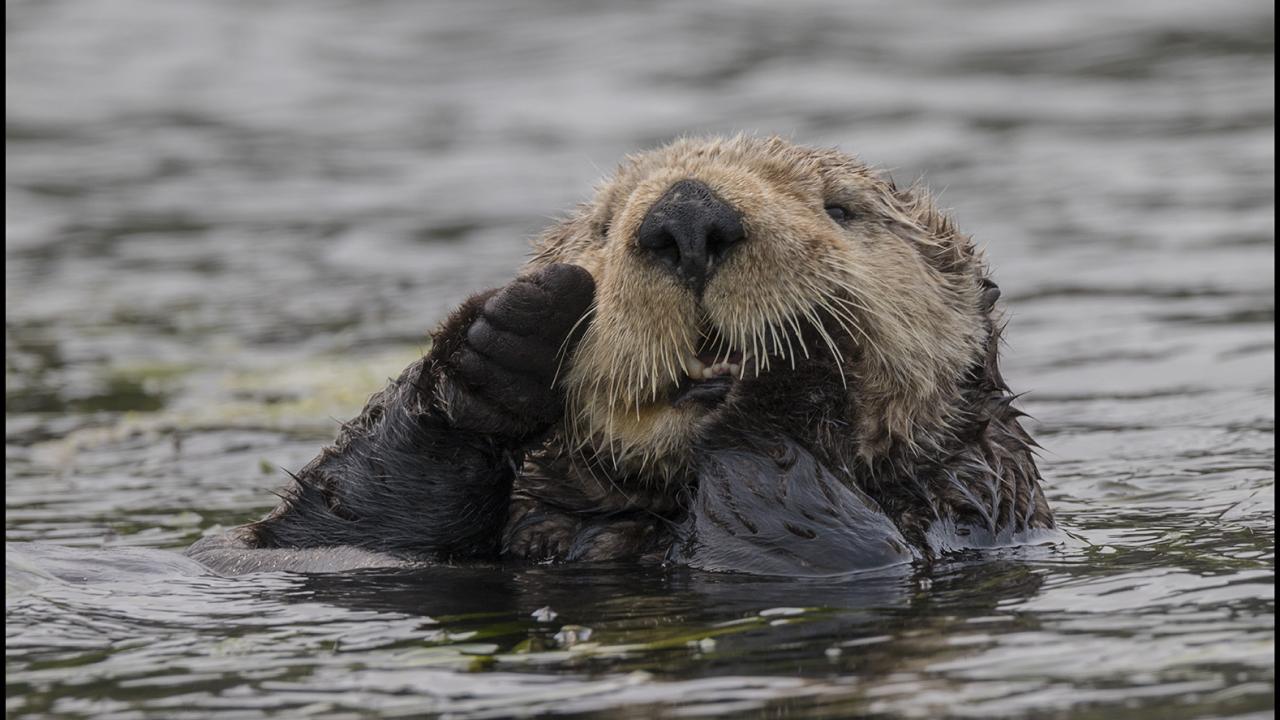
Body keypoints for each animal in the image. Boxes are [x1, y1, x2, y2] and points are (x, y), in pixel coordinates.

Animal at [186, 133, 1049, 571]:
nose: (688, 215)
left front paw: (798, 354)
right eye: (602, 226)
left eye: (843, 210)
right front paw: (503, 339)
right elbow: (320, 534)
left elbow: (810, 538)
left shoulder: (956, 510)